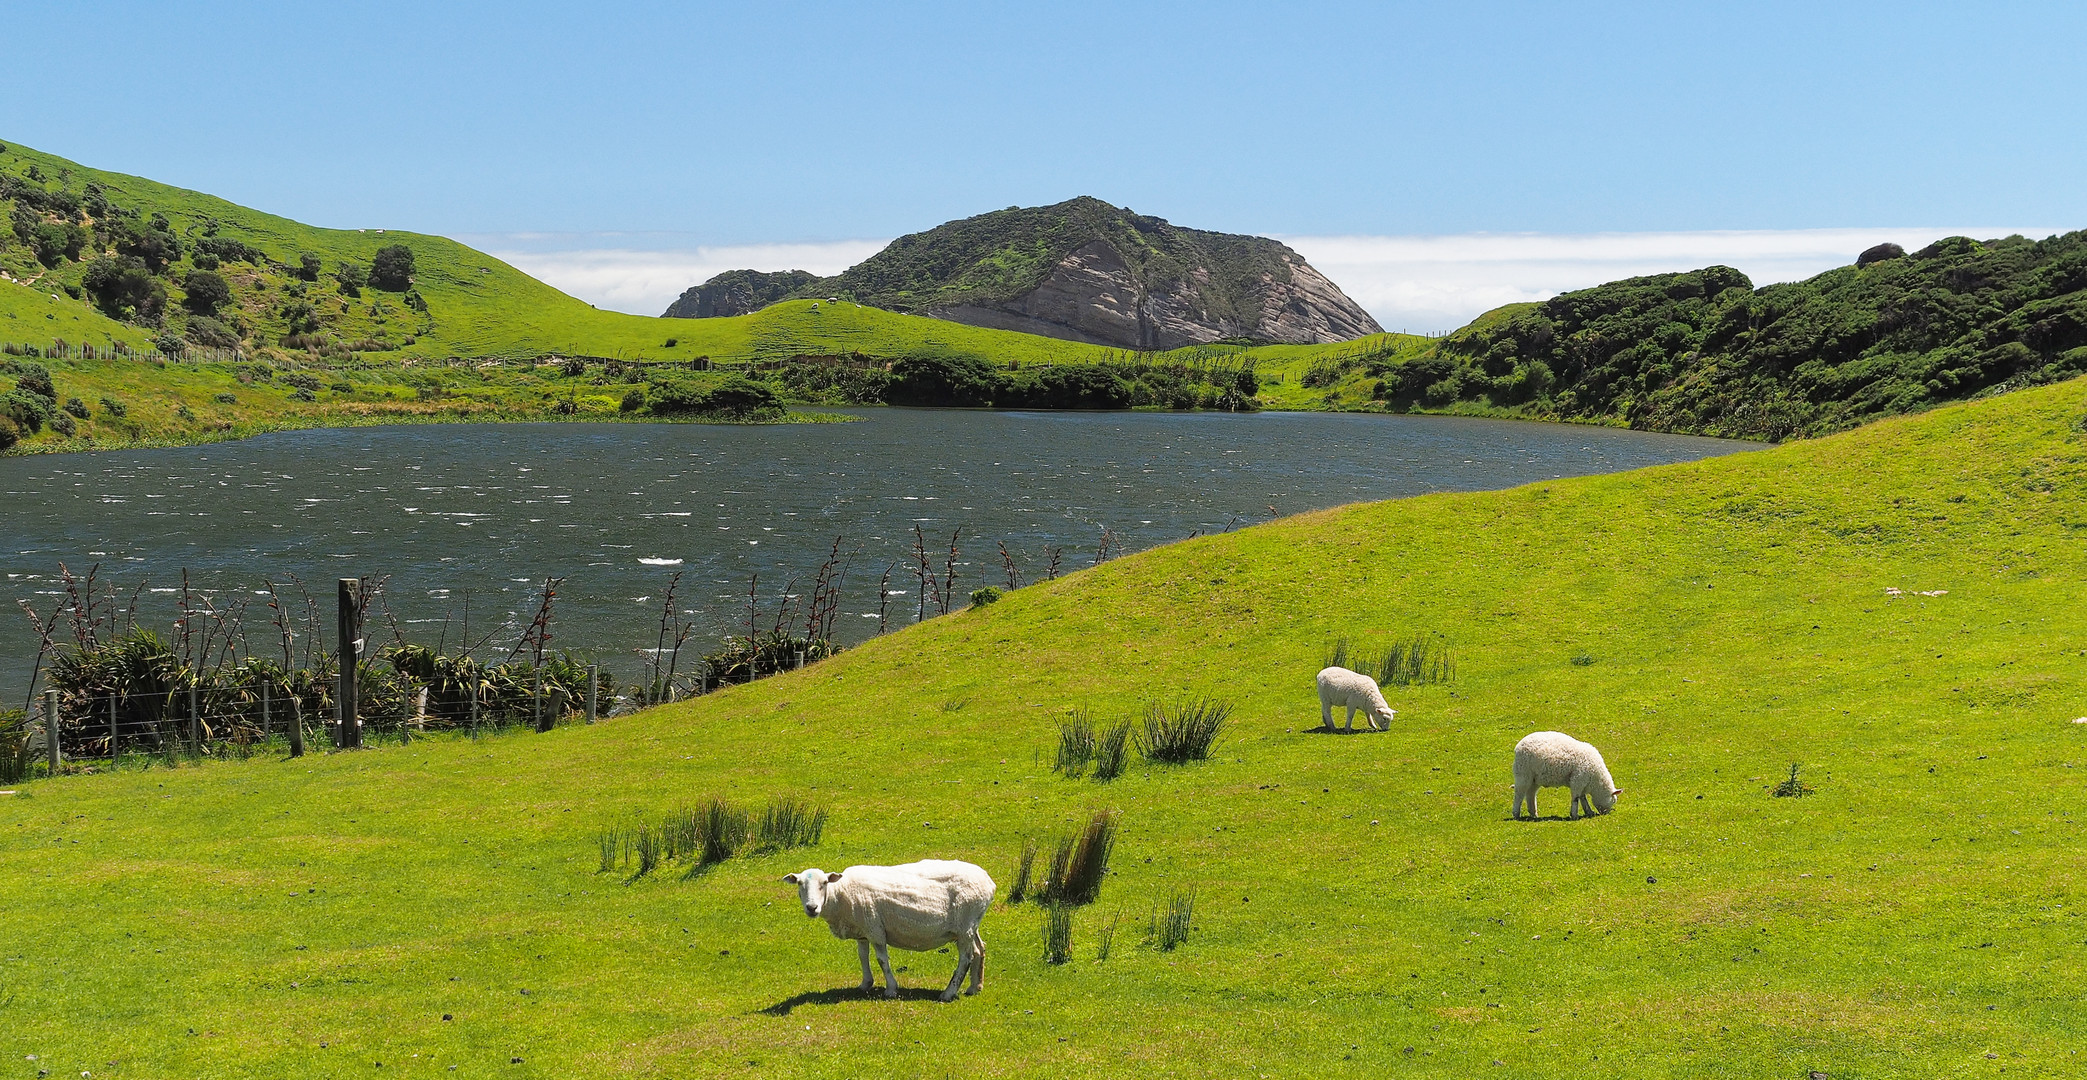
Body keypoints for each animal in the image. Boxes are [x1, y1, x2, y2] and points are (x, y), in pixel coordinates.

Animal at [784, 860, 993, 1002]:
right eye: (799, 884)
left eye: (825, 883)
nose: (812, 908)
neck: (841, 893)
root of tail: (989, 882)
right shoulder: (863, 930)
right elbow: (862, 956)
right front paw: (865, 983)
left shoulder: (875, 929)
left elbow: (882, 960)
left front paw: (891, 989)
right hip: (970, 925)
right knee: (979, 949)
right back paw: (975, 987)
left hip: (965, 924)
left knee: (966, 958)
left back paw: (948, 993)